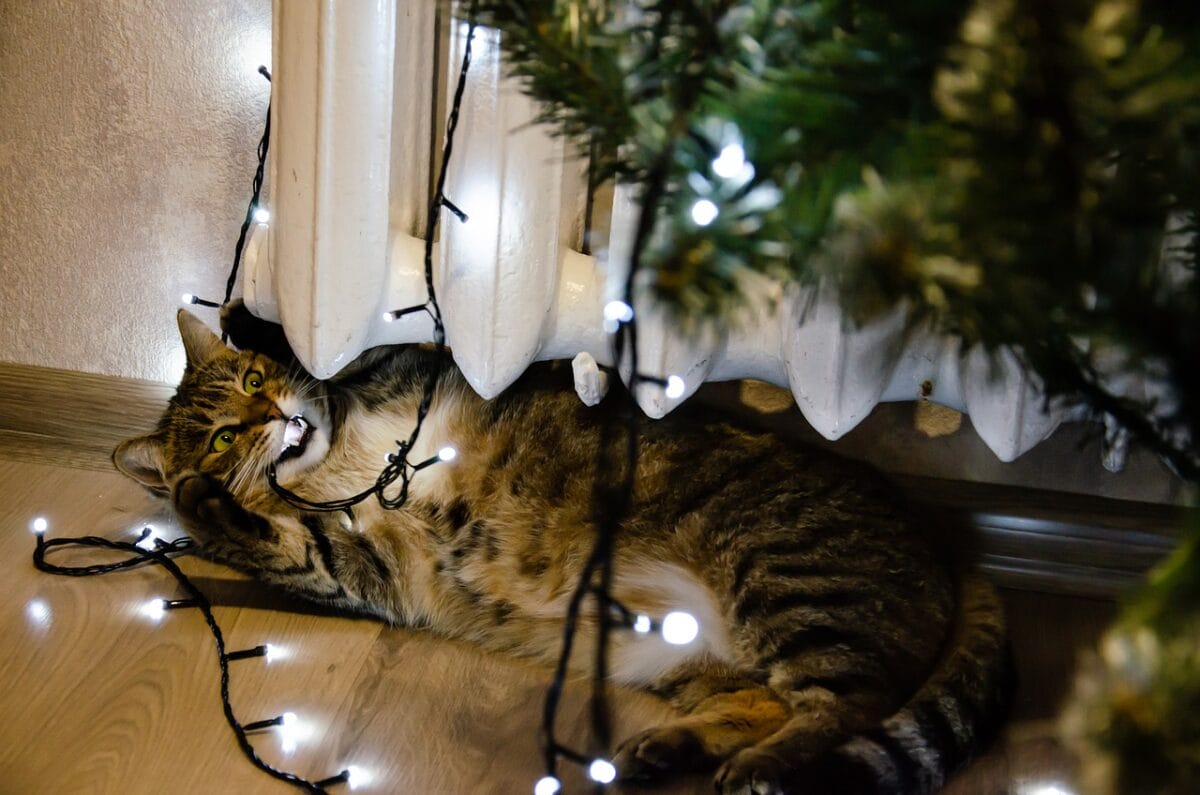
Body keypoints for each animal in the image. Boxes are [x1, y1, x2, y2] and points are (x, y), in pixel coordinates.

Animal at [114, 307, 1012, 792]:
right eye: (223, 434)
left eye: (255, 380)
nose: (276, 417)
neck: (341, 463)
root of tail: (944, 537)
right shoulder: (366, 566)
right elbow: (282, 542)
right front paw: (203, 500)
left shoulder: (416, 371)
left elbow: (374, 349)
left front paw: (257, 318)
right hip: (706, 645)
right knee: (783, 700)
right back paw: (675, 748)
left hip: (787, 577)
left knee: (849, 702)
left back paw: (764, 765)